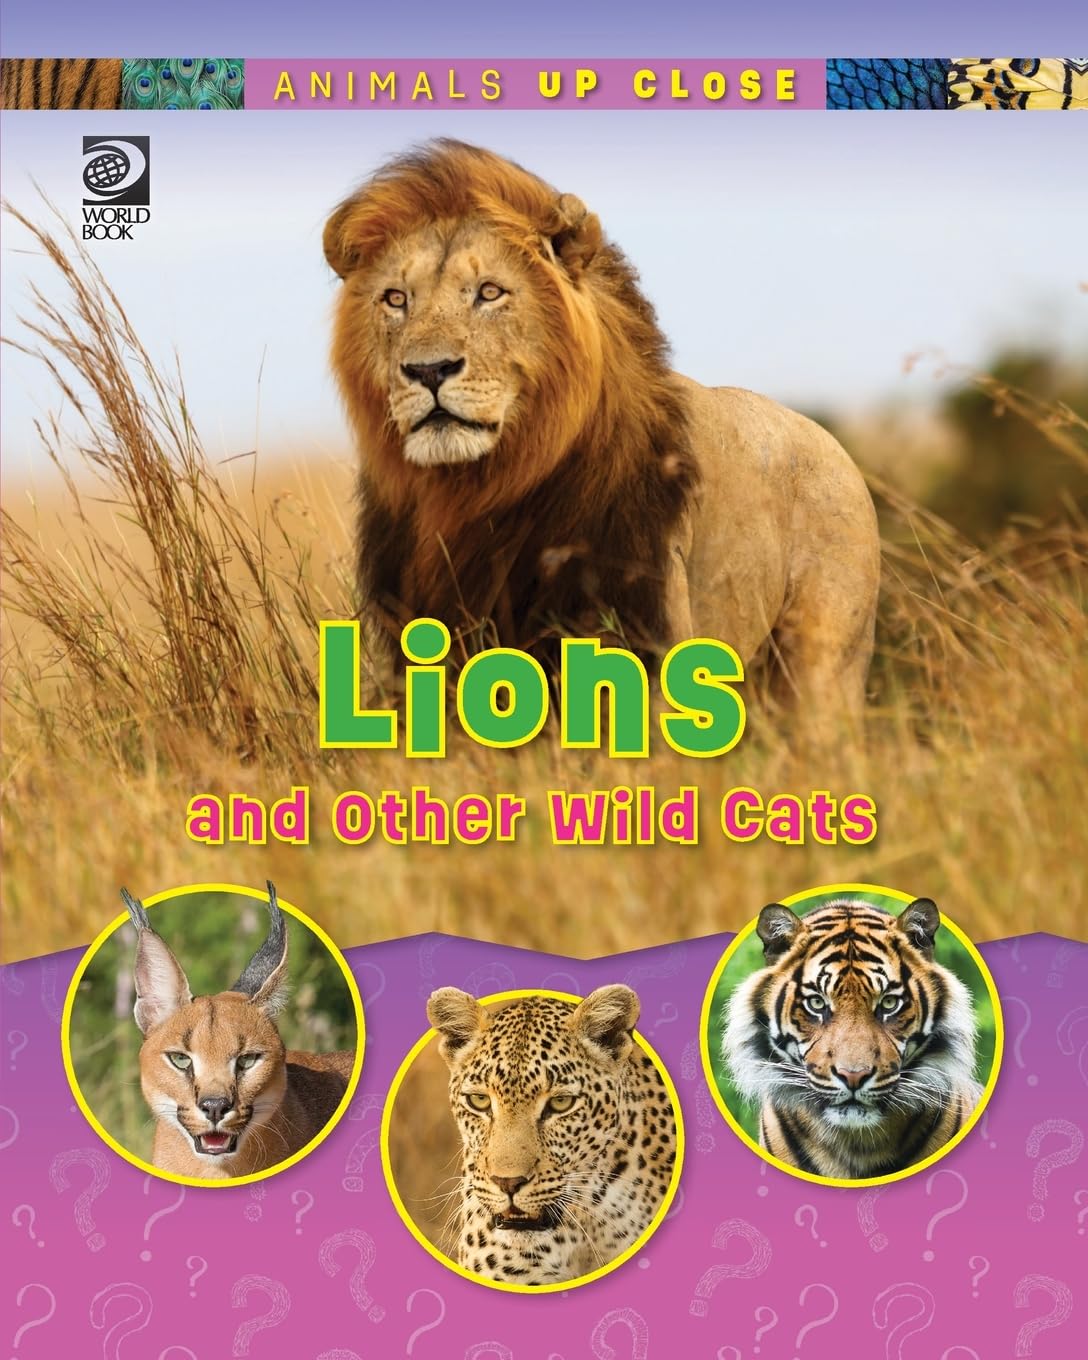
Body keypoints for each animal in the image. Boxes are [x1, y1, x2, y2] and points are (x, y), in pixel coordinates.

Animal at [323, 140, 880, 715]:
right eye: (396, 299)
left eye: (490, 292)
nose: (429, 370)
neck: (479, 491)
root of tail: (835, 448)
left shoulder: (641, 631)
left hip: (823, 663)